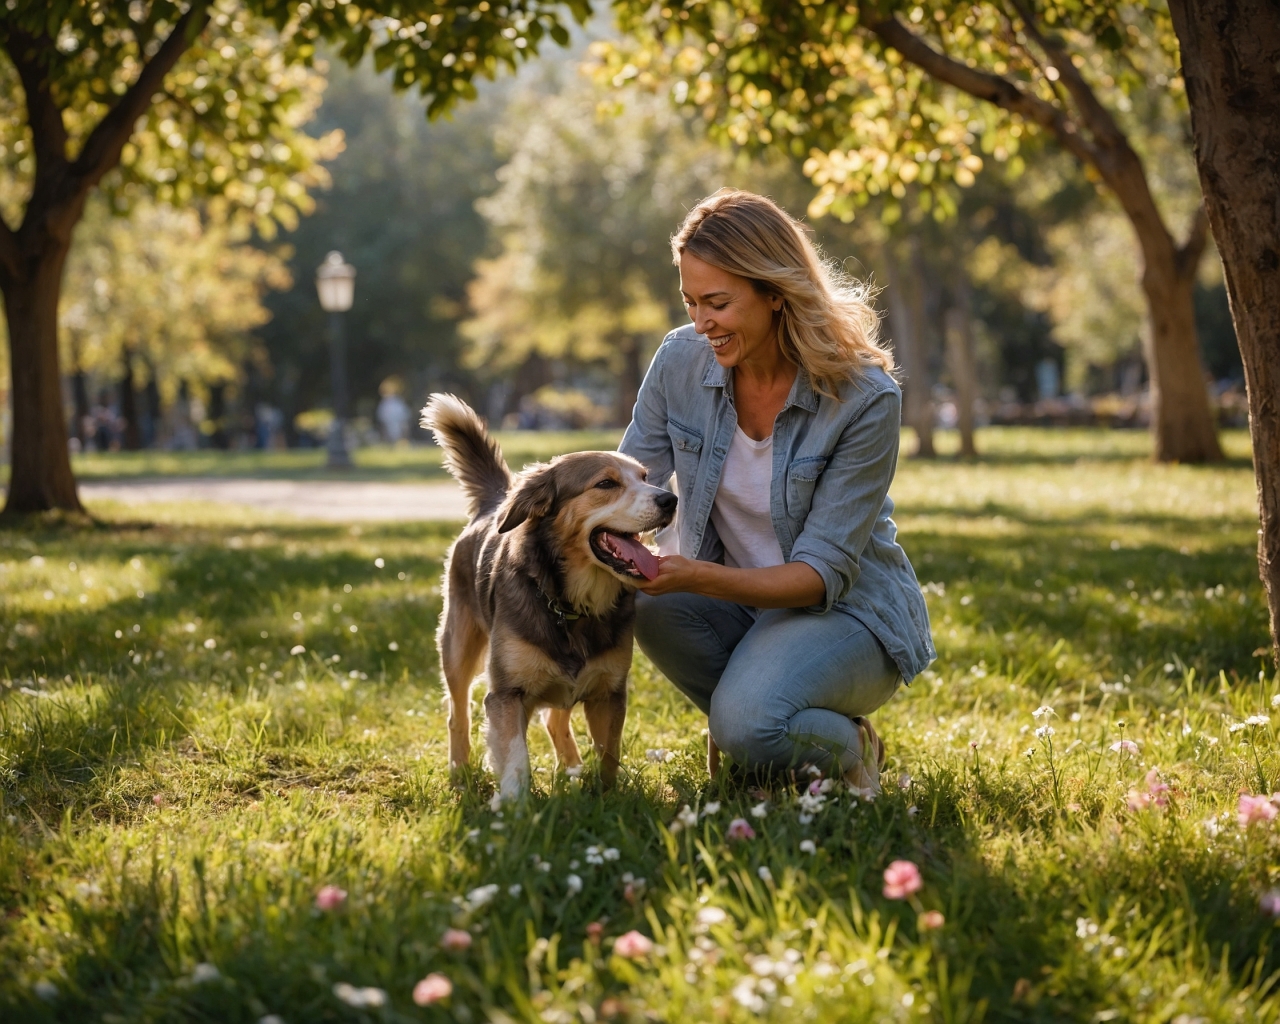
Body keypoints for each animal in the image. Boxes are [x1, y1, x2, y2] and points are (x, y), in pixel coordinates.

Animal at [422, 391, 680, 798]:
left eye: (644, 477)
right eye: (606, 484)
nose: (670, 500)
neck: (573, 605)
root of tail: (496, 502)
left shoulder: (609, 693)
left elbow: (609, 754)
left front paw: (607, 798)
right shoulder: (506, 694)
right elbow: (515, 757)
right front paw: (513, 804)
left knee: (556, 722)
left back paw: (571, 770)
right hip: (458, 648)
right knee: (457, 714)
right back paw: (459, 773)